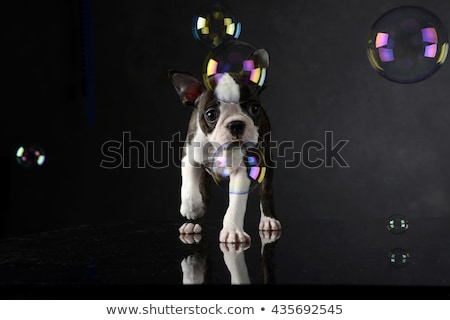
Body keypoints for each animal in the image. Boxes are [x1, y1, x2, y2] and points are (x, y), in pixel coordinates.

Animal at [169, 47, 282, 242]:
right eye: (211, 114)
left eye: (254, 108)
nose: (236, 124)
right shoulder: (189, 156)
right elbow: (190, 189)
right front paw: (192, 209)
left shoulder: (243, 168)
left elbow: (235, 206)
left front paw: (232, 231)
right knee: (205, 195)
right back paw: (194, 222)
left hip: (266, 160)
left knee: (265, 191)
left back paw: (268, 220)